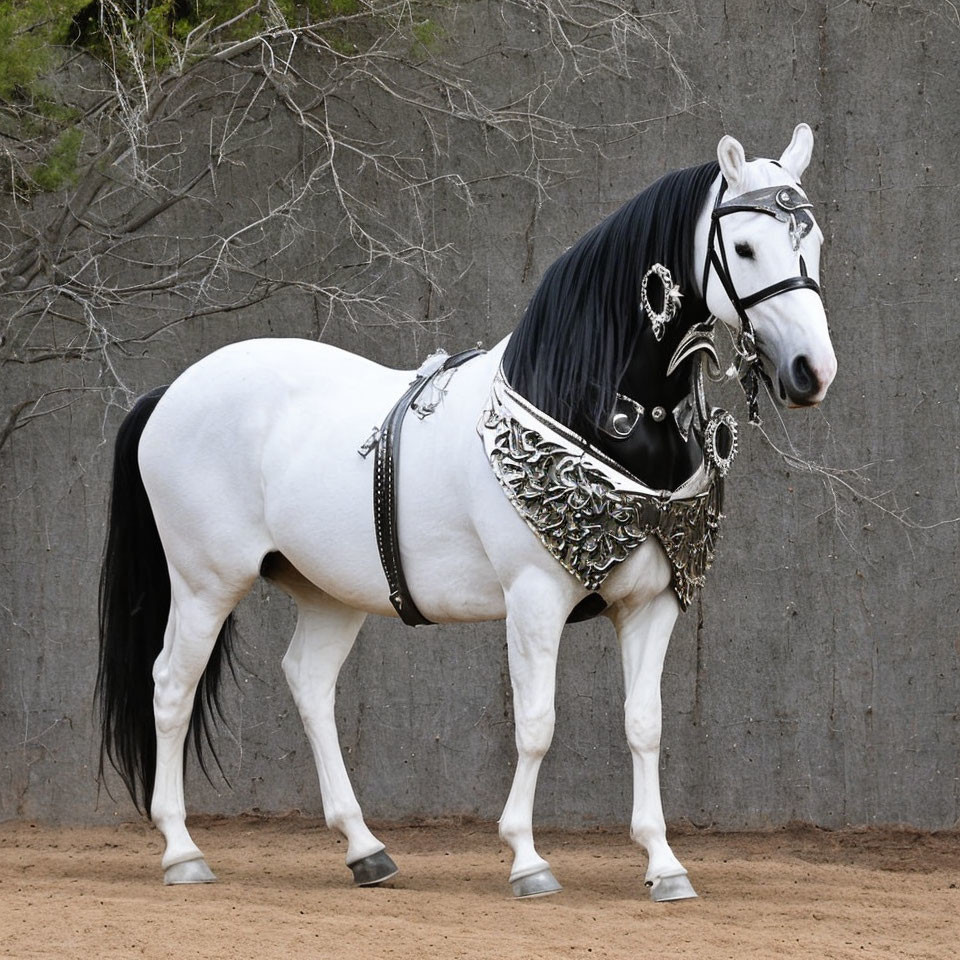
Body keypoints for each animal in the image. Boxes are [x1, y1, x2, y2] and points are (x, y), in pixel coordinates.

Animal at [94, 125, 836, 900]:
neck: (593, 409)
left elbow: (645, 725)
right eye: (744, 248)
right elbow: (537, 723)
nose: (811, 371)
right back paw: (182, 852)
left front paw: (664, 864)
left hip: (329, 592)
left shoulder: (652, 603)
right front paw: (528, 860)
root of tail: (171, 392)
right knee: (171, 688)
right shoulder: (535, 600)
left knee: (309, 684)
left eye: (815, 242)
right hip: (205, 582)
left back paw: (365, 849)